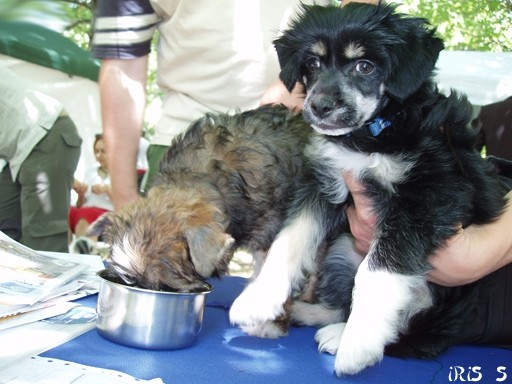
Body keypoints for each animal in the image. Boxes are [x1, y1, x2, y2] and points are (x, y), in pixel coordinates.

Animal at [231, 2, 508, 376]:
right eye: (313, 64)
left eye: (365, 66)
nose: (319, 107)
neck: (374, 132)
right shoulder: (322, 183)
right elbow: (289, 241)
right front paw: (257, 300)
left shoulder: (425, 197)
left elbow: (378, 271)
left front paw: (358, 345)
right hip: (341, 249)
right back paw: (311, 313)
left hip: (436, 297)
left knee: (412, 330)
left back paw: (343, 335)